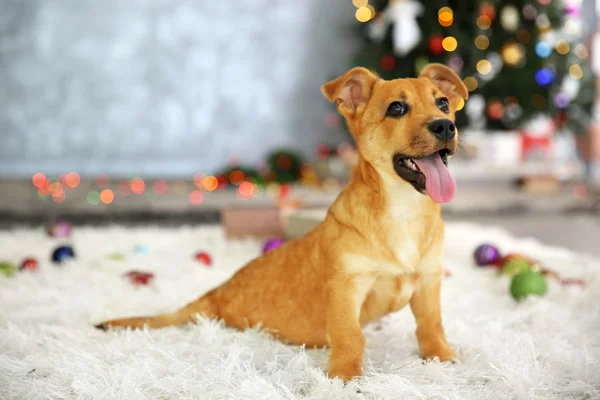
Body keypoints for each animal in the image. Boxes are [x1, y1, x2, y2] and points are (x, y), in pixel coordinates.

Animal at [96, 63, 468, 382]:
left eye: (443, 102)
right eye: (396, 108)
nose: (445, 125)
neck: (404, 210)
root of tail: (215, 295)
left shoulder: (428, 281)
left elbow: (431, 325)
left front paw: (442, 357)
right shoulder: (346, 287)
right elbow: (350, 335)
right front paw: (345, 378)